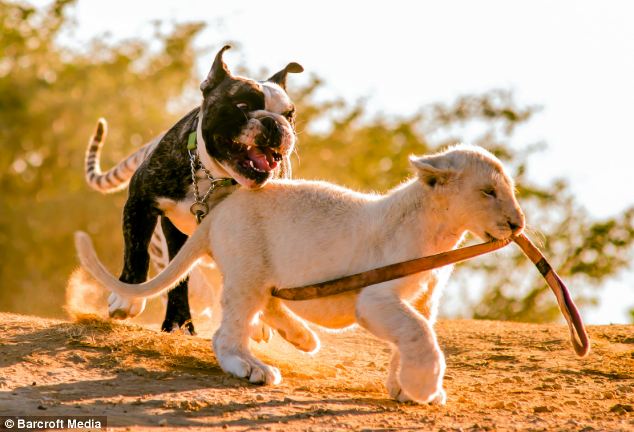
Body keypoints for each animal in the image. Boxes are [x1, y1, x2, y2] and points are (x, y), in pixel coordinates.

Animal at [85, 45, 302, 332]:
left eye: (290, 115)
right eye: (242, 105)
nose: (273, 122)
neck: (214, 177)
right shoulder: (141, 203)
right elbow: (137, 254)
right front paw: (126, 298)